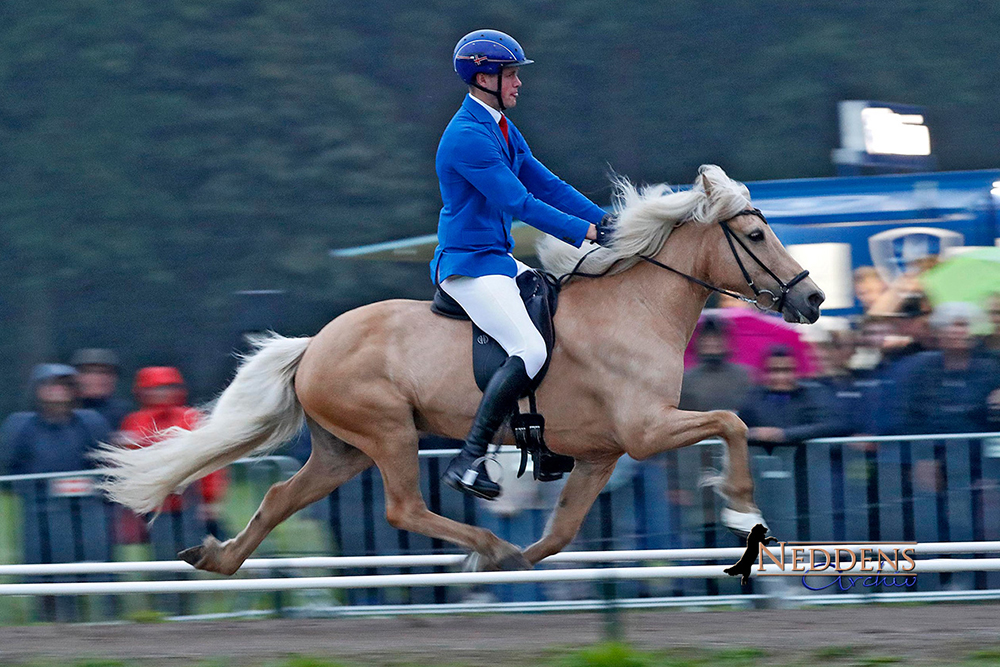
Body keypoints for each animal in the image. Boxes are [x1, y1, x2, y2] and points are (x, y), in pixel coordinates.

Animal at [97, 166, 824, 576]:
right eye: (755, 236)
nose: (813, 299)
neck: (635, 306)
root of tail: (316, 344)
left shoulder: (602, 453)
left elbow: (561, 532)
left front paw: (496, 562)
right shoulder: (646, 430)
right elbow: (731, 421)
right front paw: (740, 507)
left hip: (342, 450)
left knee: (279, 497)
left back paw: (216, 557)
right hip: (389, 432)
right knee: (404, 505)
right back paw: (483, 535)